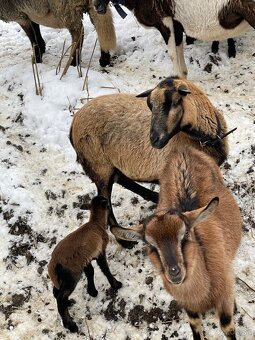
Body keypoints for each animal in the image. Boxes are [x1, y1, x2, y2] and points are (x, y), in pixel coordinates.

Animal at [49, 195, 123, 334]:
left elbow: (90, 272)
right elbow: (105, 269)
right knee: (60, 299)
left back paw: (69, 304)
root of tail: (53, 264)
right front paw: (116, 284)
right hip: (72, 277)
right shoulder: (100, 252)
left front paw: (92, 291)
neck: (96, 222)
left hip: (61, 279)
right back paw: (70, 325)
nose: (110, 205)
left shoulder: (85, 259)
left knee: (56, 293)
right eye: (107, 203)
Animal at [68, 76, 228, 244]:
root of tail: (74, 122)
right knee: (107, 197)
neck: (205, 139)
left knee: (122, 179)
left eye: (174, 102)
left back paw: (153, 197)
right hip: (98, 164)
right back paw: (124, 241)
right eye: (150, 106)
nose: (154, 139)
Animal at [112, 145, 242, 340]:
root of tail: (183, 148)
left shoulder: (224, 295)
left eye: (184, 235)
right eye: (151, 245)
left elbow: (227, 326)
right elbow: (195, 325)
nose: (174, 272)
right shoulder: (187, 305)